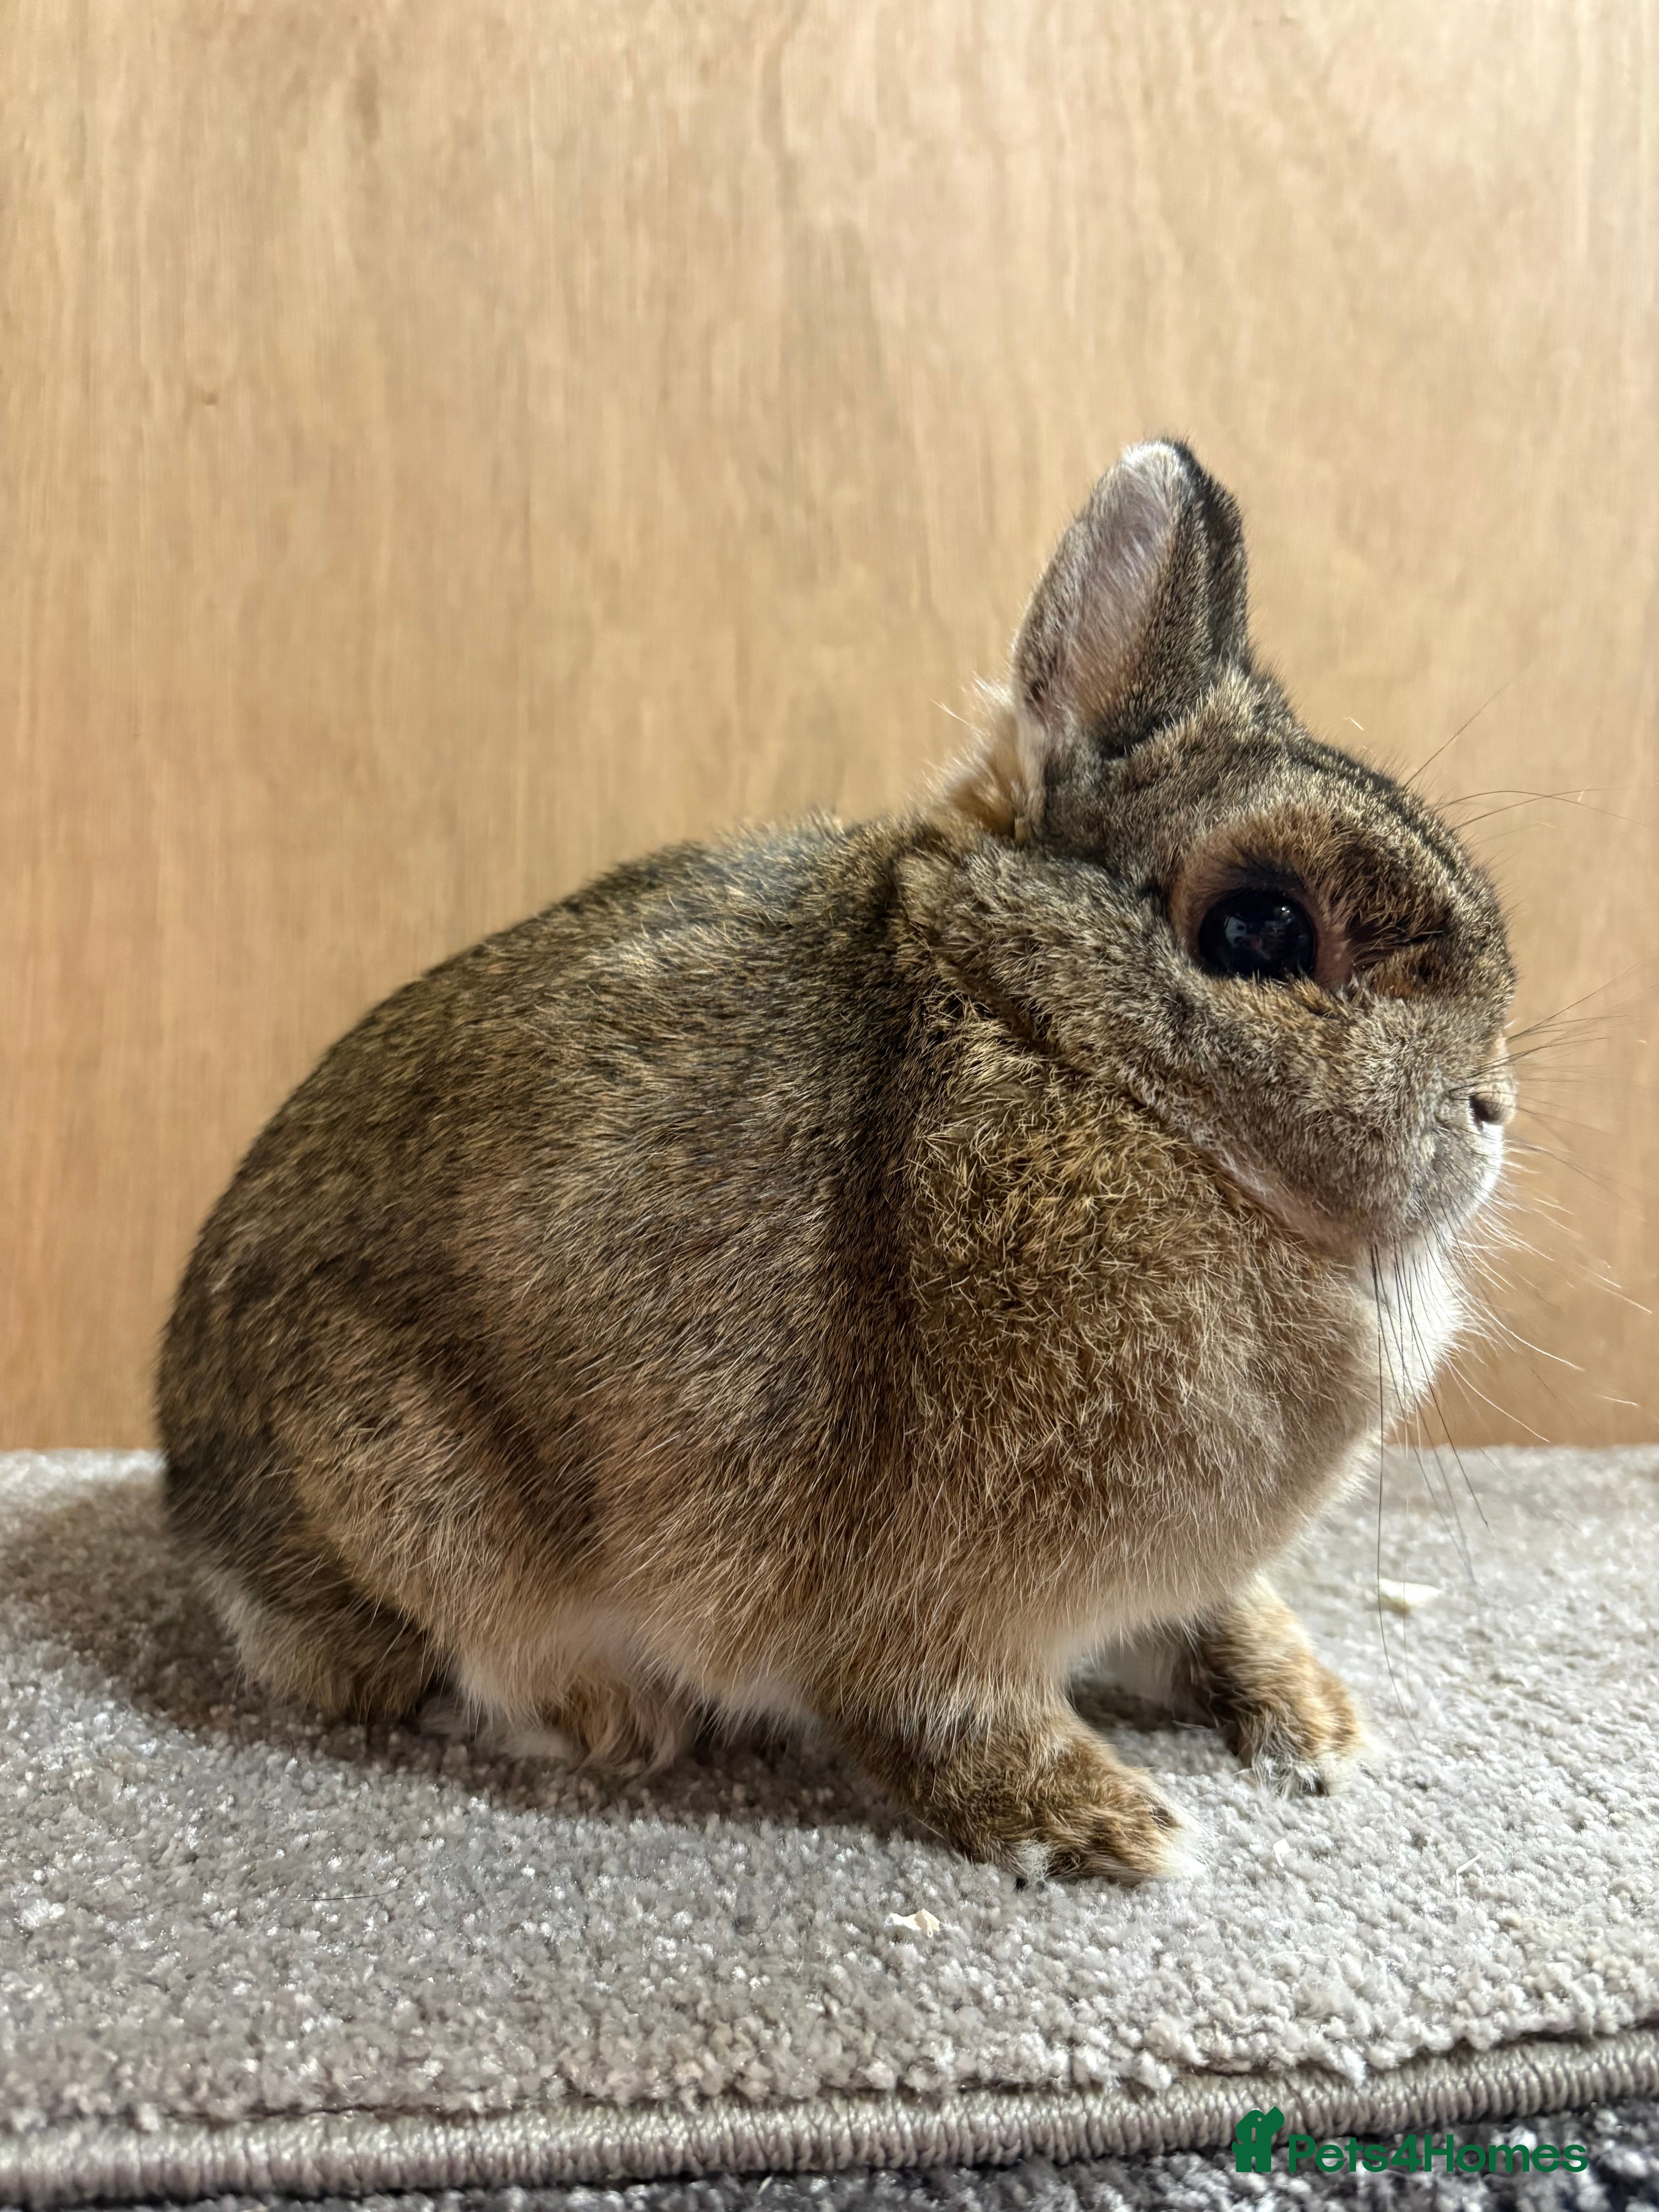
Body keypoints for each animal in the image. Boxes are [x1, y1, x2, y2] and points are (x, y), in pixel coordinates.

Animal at [158, 440, 1515, 1880]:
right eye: (1260, 929)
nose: (1491, 1105)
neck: (1059, 1044)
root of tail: (200, 1505)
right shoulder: (940, 1596)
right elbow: (942, 1713)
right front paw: (1109, 1826)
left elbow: (1220, 1616)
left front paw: (1313, 1723)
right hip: (411, 1488)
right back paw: (614, 1715)